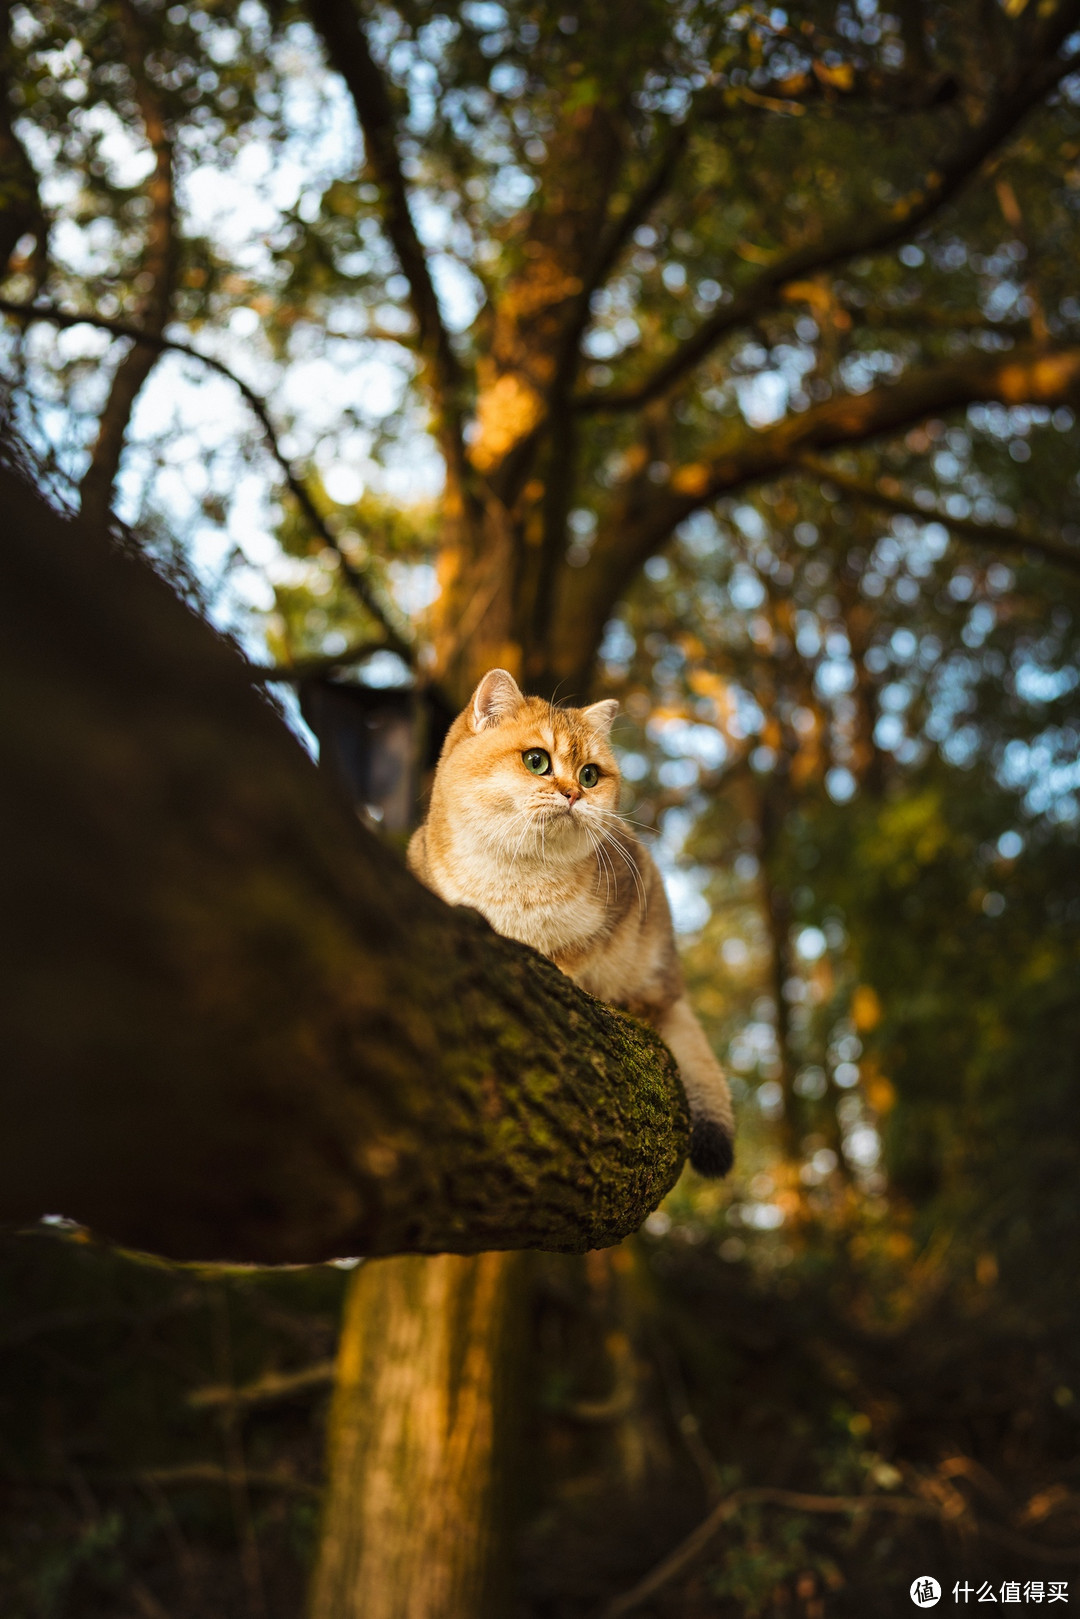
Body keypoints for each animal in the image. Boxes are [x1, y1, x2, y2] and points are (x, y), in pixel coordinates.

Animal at [409, 667, 738, 1178]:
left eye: (590, 775)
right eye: (536, 761)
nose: (574, 794)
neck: (518, 874)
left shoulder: (618, 912)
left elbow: (573, 956)